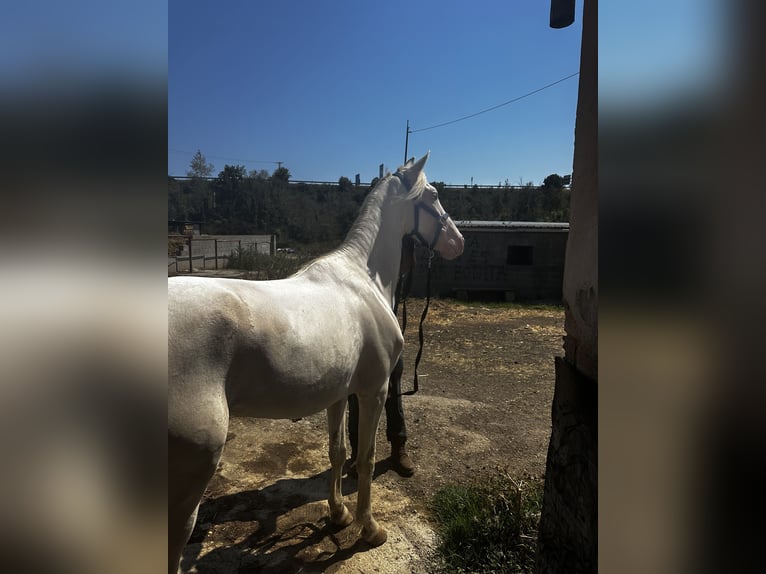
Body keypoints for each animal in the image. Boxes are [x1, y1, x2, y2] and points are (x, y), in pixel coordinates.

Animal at [169, 151, 464, 572]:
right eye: (435, 195)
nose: (459, 241)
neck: (364, 278)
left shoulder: (338, 394)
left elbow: (338, 452)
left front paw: (339, 514)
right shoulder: (374, 391)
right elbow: (366, 458)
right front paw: (369, 529)